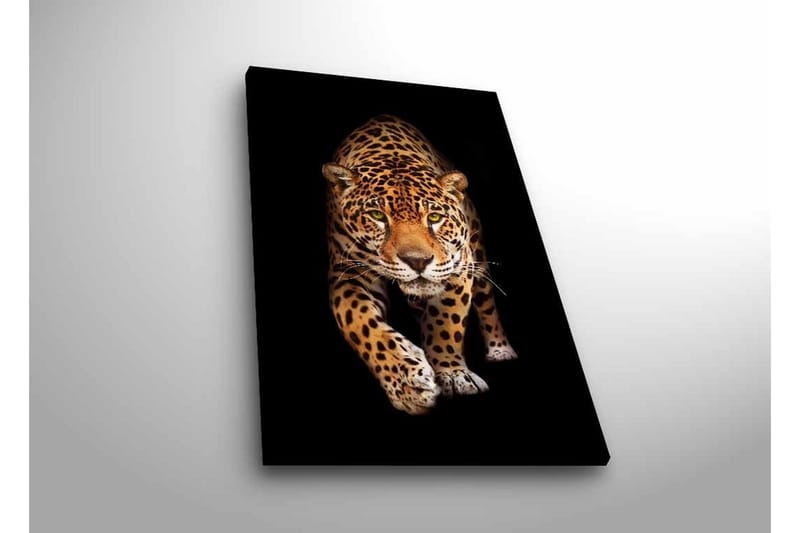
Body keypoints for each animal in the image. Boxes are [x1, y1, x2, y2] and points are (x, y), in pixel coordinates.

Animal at [323, 114, 517, 415]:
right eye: (377, 215)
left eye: (435, 217)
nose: (418, 261)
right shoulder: (349, 273)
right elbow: (361, 323)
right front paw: (407, 383)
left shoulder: (457, 265)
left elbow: (445, 321)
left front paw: (452, 374)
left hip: (479, 256)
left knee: (487, 303)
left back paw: (500, 350)